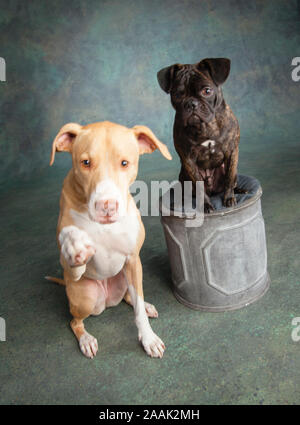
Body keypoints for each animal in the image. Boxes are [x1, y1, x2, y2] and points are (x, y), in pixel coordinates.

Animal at [47, 119, 172, 358]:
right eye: (85, 162)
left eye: (124, 163)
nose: (107, 206)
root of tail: (107, 301)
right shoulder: (70, 268)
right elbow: (69, 240)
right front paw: (74, 244)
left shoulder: (133, 260)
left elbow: (138, 311)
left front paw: (148, 338)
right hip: (84, 298)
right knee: (74, 321)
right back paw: (86, 339)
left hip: (127, 277)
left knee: (133, 298)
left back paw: (145, 306)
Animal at [158, 57, 240, 212]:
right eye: (177, 94)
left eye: (207, 91)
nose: (191, 103)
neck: (205, 126)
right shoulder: (189, 160)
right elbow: (200, 187)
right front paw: (206, 205)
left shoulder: (232, 152)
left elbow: (229, 177)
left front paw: (228, 198)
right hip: (184, 176)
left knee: (232, 181)